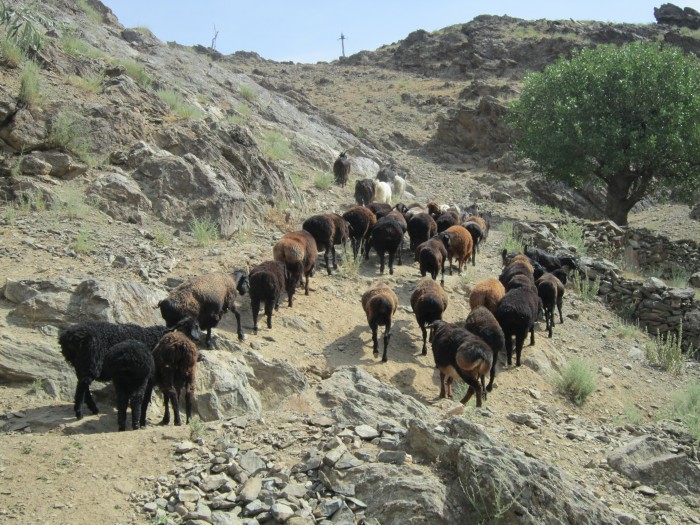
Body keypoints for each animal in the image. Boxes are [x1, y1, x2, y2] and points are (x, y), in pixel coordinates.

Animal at [58, 314, 198, 420]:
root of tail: (70, 337)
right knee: (83, 385)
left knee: (83, 384)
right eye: (189, 328)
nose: (195, 340)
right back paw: (79, 412)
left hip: (81, 364)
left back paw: (93, 409)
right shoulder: (148, 376)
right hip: (91, 361)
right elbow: (146, 397)